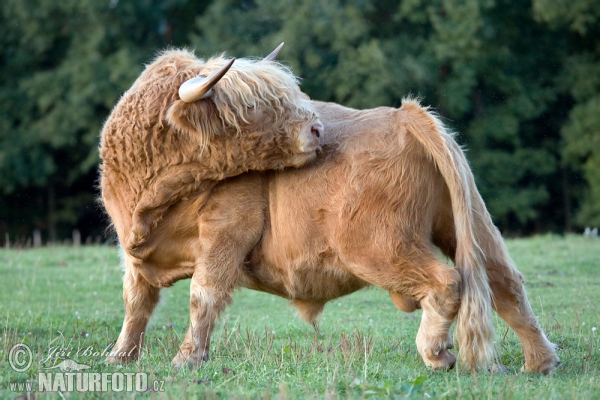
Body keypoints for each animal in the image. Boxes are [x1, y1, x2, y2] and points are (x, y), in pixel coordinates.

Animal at [105, 97, 560, 376]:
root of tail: (403, 115)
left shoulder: (226, 229)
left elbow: (204, 293)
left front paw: (186, 360)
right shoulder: (134, 254)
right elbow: (136, 301)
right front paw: (119, 357)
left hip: (378, 246)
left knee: (448, 280)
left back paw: (436, 352)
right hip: (470, 227)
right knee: (506, 284)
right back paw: (539, 363)